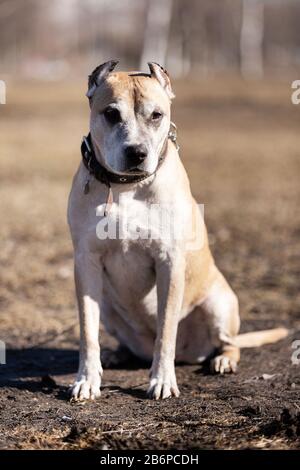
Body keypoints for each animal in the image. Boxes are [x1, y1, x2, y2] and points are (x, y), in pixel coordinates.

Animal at [68, 60, 288, 400]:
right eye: (111, 114)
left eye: (156, 115)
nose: (136, 153)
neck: (126, 187)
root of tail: (191, 353)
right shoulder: (86, 263)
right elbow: (88, 332)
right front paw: (87, 380)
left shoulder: (169, 262)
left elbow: (166, 329)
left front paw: (161, 379)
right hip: (108, 305)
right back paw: (118, 354)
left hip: (220, 304)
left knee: (229, 342)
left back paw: (223, 360)